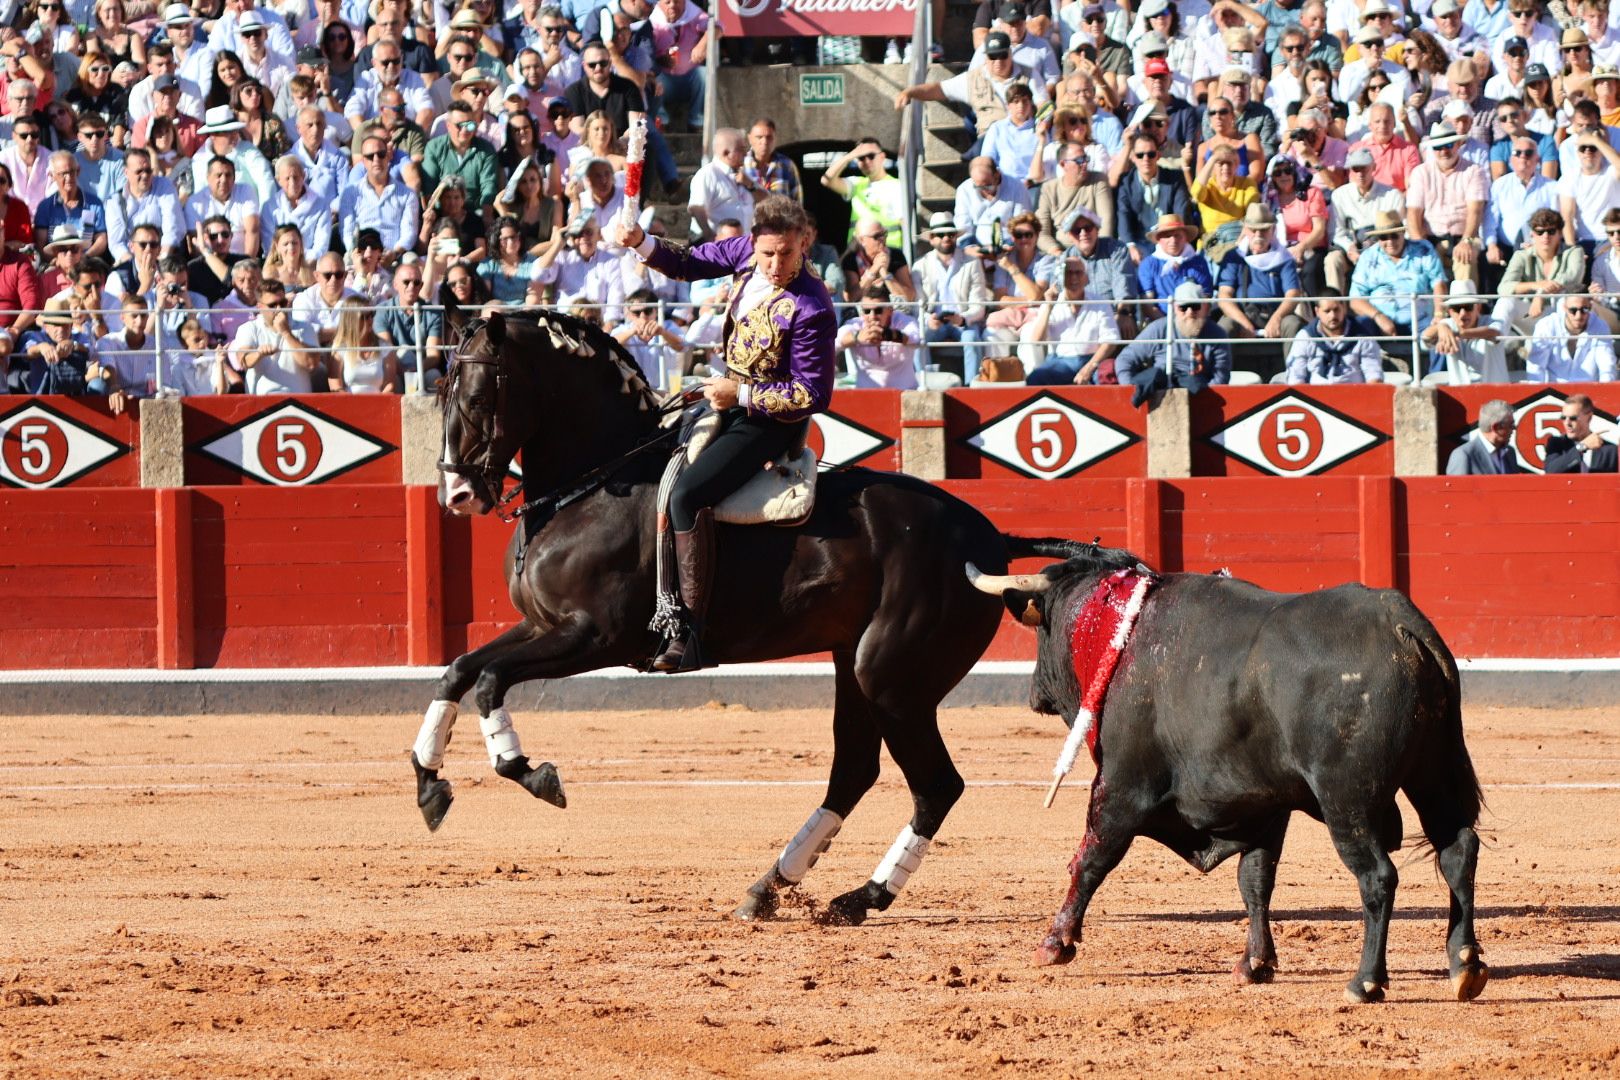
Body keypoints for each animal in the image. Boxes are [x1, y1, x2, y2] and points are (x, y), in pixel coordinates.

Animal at [411, 306, 1056, 932]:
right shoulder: (544, 626)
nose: (457, 494)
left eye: (477, 398)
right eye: (440, 392)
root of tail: (989, 537)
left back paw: (860, 897)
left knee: (935, 785)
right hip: (856, 667)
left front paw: (532, 772)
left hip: (893, 679)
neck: (594, 486)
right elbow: (459, 670)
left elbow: (489, 681)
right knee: (854, 769)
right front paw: (429, 785)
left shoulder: (594, 637)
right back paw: (769, 887)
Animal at [965, 544, 1483, 1010]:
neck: (1123, 636)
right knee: (1458, 850)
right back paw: (1465, 966)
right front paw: (1255, 964)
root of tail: (1398, 620)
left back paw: (1366, 983)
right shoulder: (1263, 806)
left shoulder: (1121, 787)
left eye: (1041, 630)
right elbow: (1255, 880)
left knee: (1377, 876)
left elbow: (1091, 858)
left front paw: (1055, 943)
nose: (1035, 693)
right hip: (1436, 771)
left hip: (1348, 800)